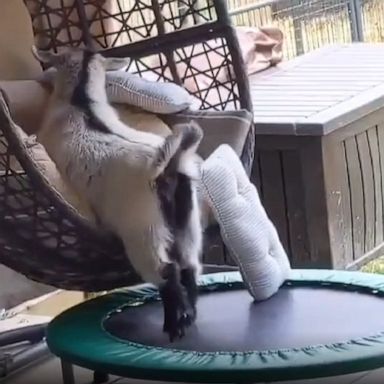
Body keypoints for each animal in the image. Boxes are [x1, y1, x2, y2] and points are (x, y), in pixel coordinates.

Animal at [32, 46, 204, 340]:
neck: (80, 102)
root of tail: (165, 167)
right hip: (187, 221)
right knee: (189, 265)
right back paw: (189, 316)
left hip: (144, 231)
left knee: (166, 271)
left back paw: (173, 325)